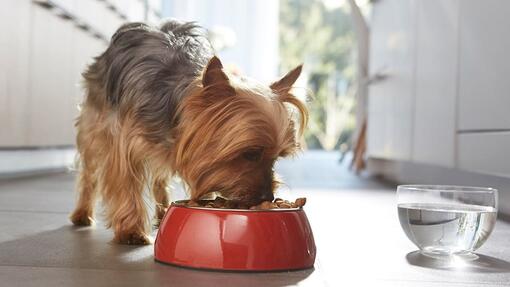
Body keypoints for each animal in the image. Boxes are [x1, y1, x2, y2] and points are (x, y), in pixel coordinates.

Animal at [70, 20, 308, 245]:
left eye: (276, 157)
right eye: (250, 153)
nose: (268, 196)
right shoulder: (124, 143)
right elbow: (126, 183)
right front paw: (131, 231)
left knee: (159, 179)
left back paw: (163, 210)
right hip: (94, 124)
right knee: (89, 173)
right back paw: (82, 213)